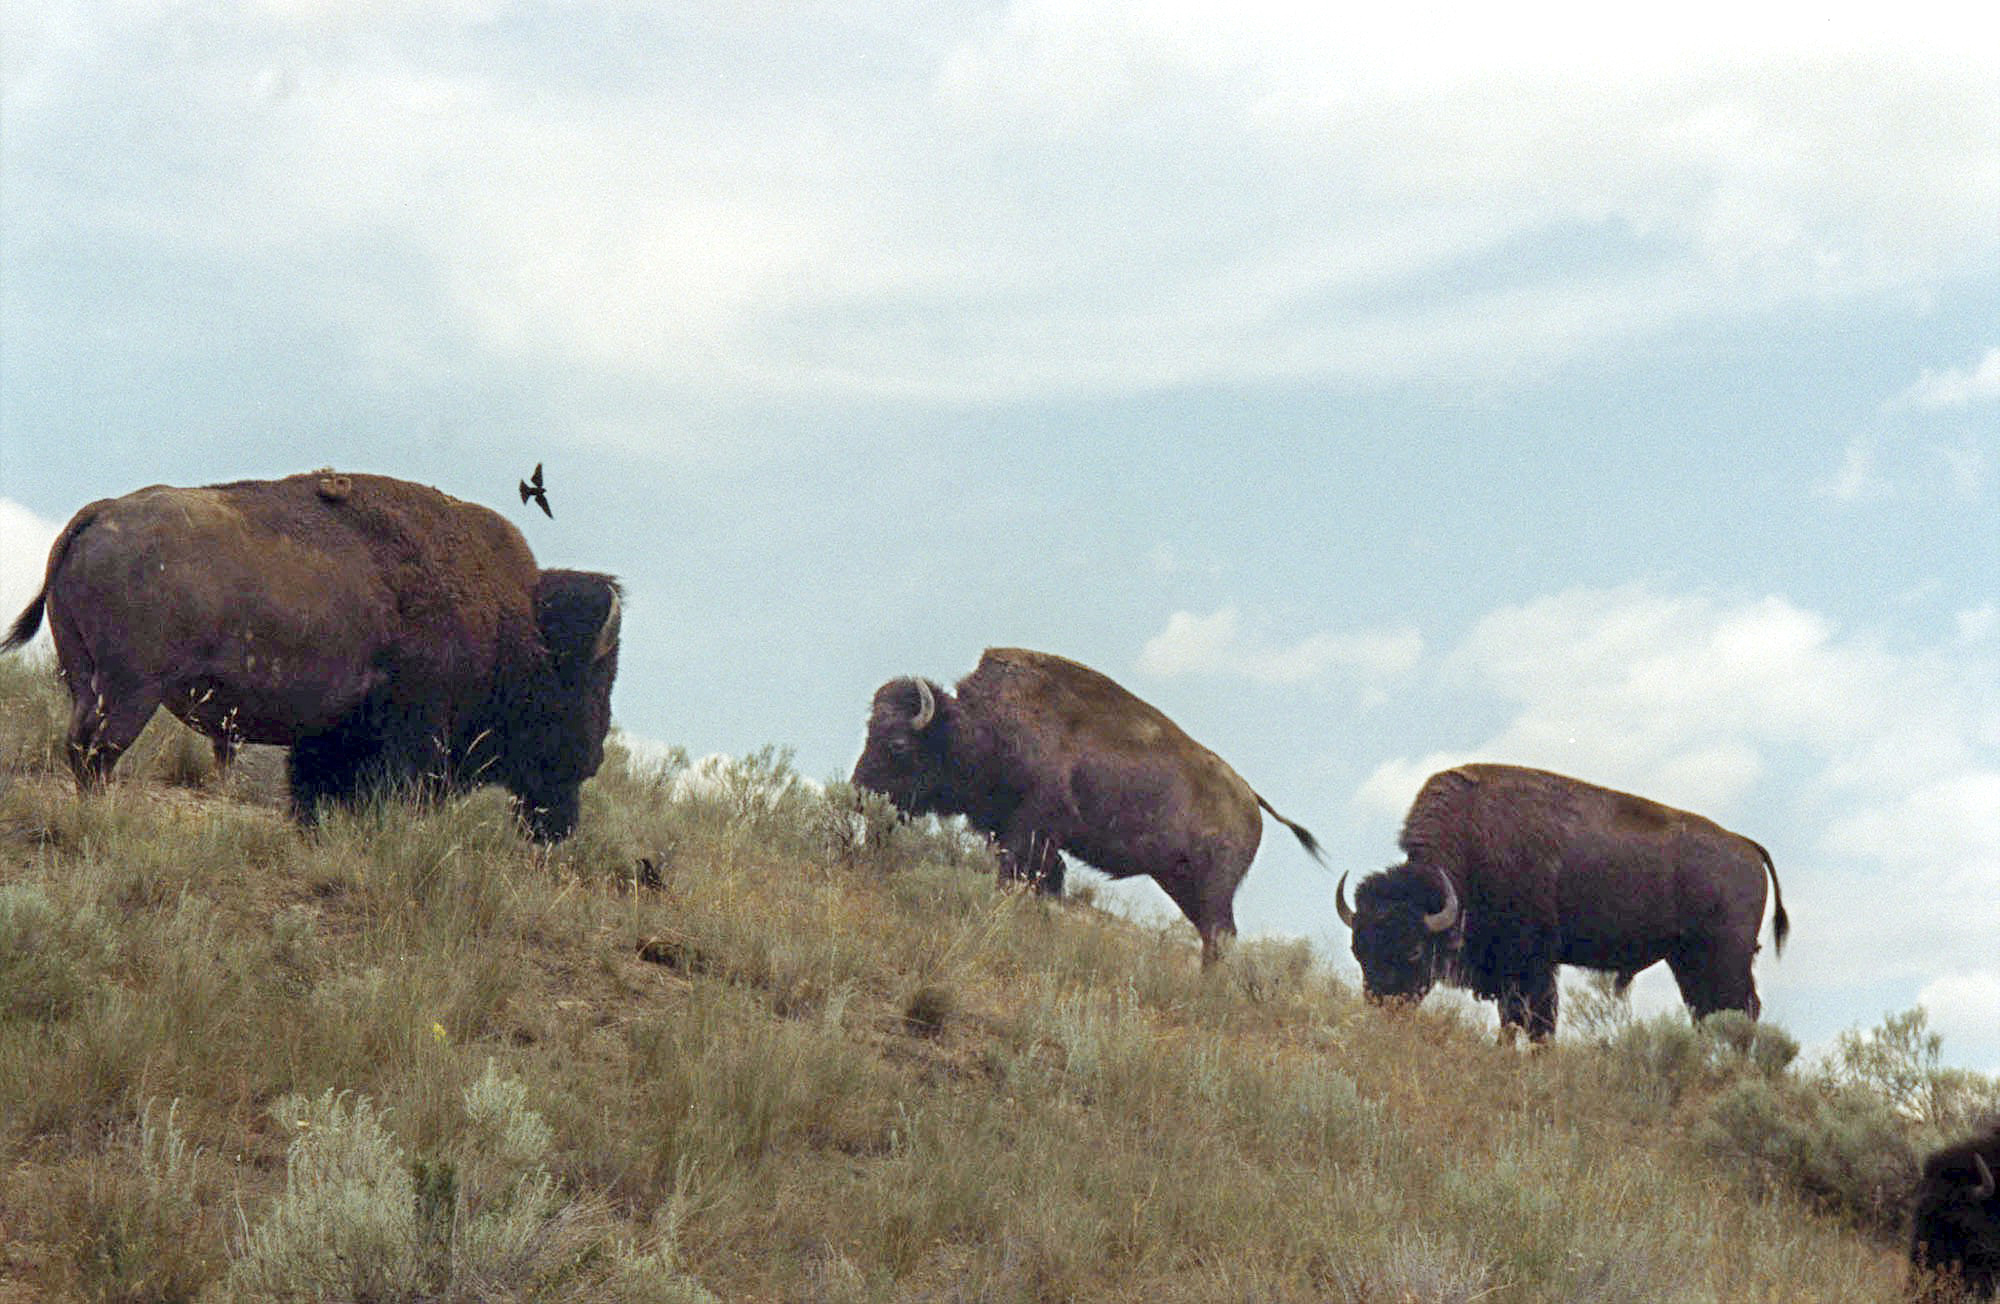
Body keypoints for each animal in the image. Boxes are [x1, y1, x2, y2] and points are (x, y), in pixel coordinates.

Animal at [1, 471, 620, 841]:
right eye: (590, 681)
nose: (593, 759)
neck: (517, 623)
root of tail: (99, 512)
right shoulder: (413, 736)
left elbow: (307, 791)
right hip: (131, 691)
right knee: (97, 751)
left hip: (84, 678)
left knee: (80, 746)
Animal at [851, 647, 1323, 966]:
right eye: (869, 728)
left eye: (897, 744)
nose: (857, 793)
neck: (983, 727)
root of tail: (1251, 798)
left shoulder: (1032, 832)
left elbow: (1016, 879)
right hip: (1182, 883)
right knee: (1215, 935)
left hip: (1212, 888)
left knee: (1219, 935)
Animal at [1335, 763, 1788, 1043]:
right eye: (1358, 950)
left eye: (1413, 950)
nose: (1382, 1009)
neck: (1473, 843)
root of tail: (1746, 846)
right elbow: (1512, 1020)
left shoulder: (1532, 963)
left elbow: (1536, 1020)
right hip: (1688, 960)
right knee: (1708, 1013)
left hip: (1725, 958)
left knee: (1742, 1013)